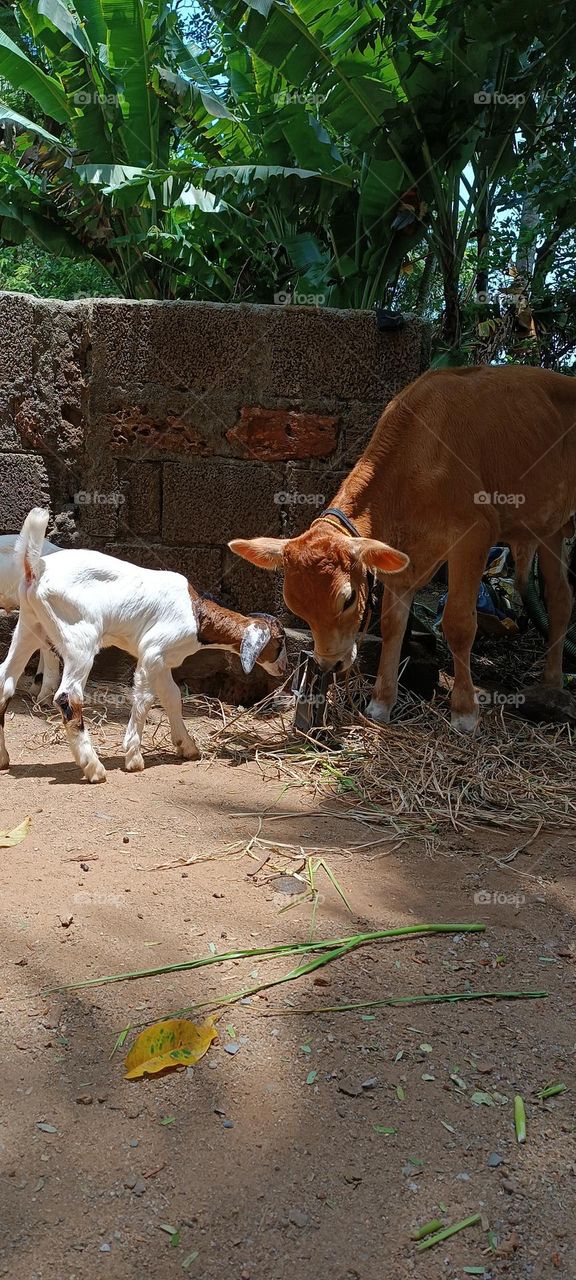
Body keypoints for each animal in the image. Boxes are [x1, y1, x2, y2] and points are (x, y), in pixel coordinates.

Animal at [230, 365, 576, 732]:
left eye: (347, 600)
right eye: (297, 608)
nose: (330, 665)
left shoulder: (475, 533)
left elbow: (458, 624)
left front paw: (465, 713)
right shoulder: (401, 555)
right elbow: (392, 624)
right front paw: (381, 703)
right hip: (551, 527)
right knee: (560, 598)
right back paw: (552, 685)